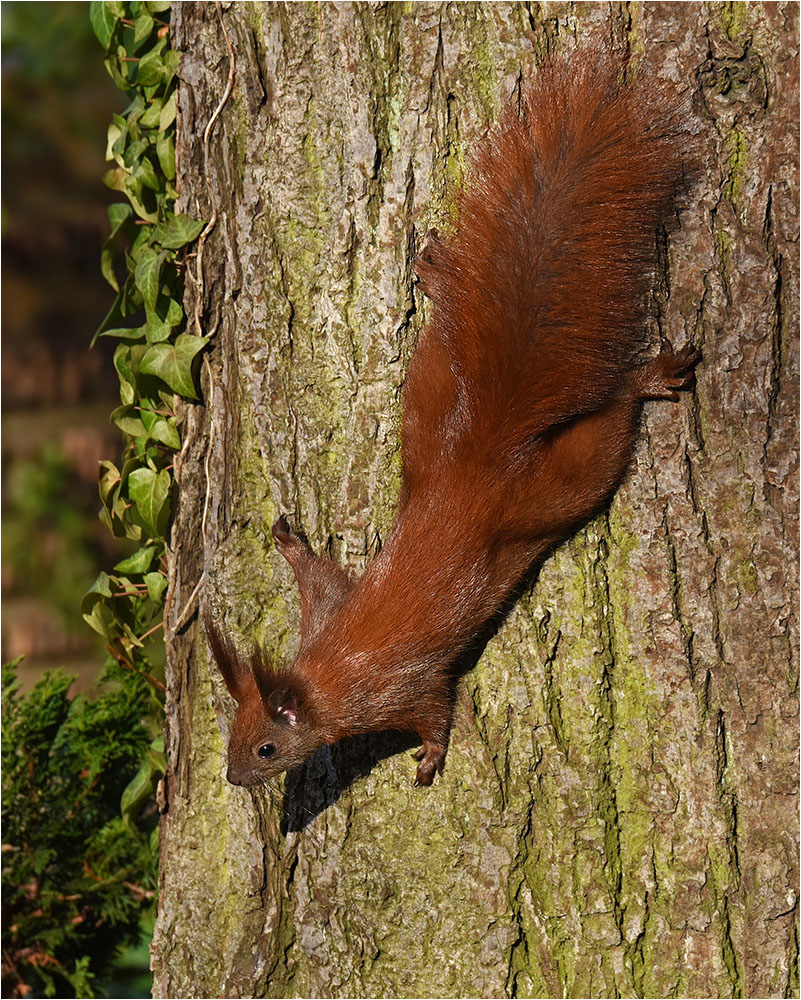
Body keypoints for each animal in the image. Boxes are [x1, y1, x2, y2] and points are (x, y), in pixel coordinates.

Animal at [203, 47, 696, 788]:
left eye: (264, 747)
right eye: (232, 734)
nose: (234, 778)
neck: (324, 677)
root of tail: (476, 456)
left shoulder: (399, 688)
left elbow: (434, 708)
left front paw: (431, 756)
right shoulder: (329, 612)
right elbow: (322, 580)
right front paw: (289, 543)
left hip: (558, 488)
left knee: (610, 419)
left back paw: (647, 379)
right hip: (430, 396)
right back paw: (437, 274)